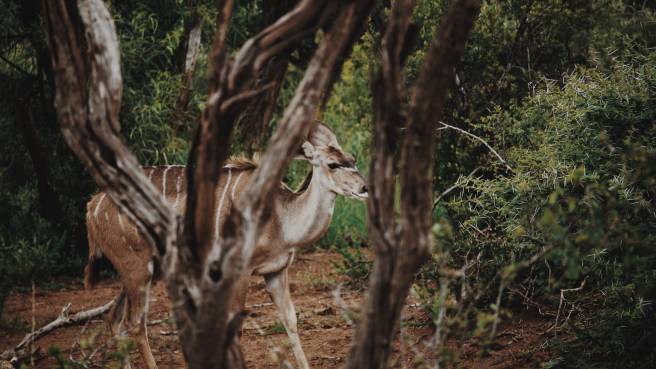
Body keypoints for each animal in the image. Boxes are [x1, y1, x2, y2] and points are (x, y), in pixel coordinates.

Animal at [84, 122, 366, 366]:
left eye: (352, 159)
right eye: (333, 164)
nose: (364, 188)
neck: (281, 217)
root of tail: (92, 207)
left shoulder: (276, 270)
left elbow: (290, 320)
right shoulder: (238, 272)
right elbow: (236, 329)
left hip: (144, 270)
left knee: (115, 320)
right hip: (138, 268)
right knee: (134, 323)